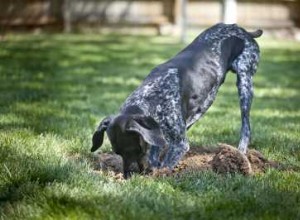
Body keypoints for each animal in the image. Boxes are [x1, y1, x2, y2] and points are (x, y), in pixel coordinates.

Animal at [91, 23, 262, 178]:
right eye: (117, 153)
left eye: (134, 150)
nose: (127, 176)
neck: (150, 98)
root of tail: (242, 30)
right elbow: (155, 153)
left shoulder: (180, 145)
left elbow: (165, 165)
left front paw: (157, 175)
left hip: (244, 82)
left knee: (246, 127)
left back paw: (240, 154)